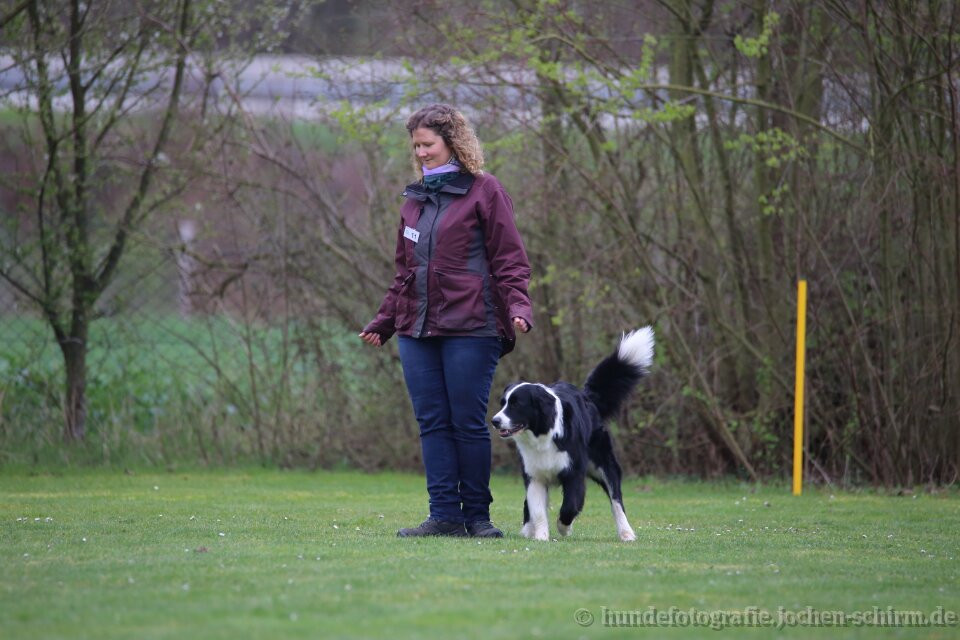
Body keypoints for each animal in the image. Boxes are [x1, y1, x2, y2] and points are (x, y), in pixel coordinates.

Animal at [491, 327, 654, 542]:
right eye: (503, 403)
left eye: (517, 404)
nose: (495, 421)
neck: (543, 434)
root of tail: (588, 397)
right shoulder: (534, 475)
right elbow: (537, 509)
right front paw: (540, 537)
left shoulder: (574, 472)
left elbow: (570, 506)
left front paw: (564, 528)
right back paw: (528, 529)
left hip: (604, 463)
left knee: (616, 500)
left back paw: (626, 533)